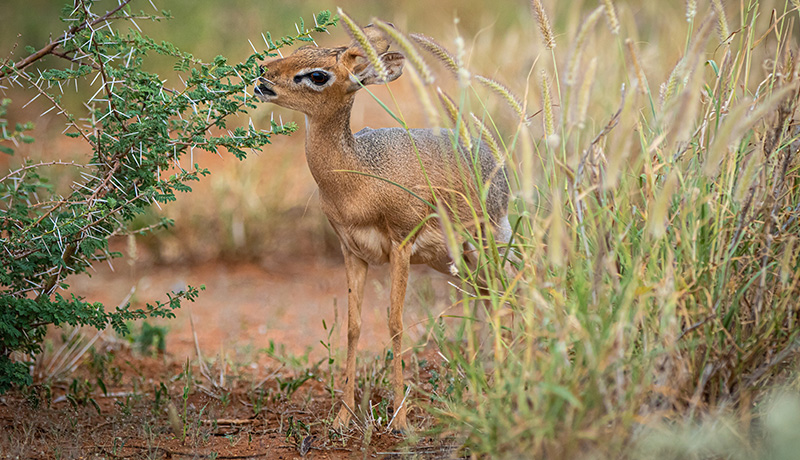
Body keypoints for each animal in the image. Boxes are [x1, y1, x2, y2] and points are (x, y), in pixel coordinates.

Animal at [253, 23, 510, 430]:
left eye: (318, 75)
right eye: (302, 47)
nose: (263, 73)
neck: (357, 179)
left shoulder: (400, 247)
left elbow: (395, 323)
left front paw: (401, 419)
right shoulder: (352, 251)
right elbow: (354, 325)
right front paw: (342, 417)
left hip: (489, 248)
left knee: (503, 295)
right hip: (458, 262)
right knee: (481, 301)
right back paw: (478, 388)